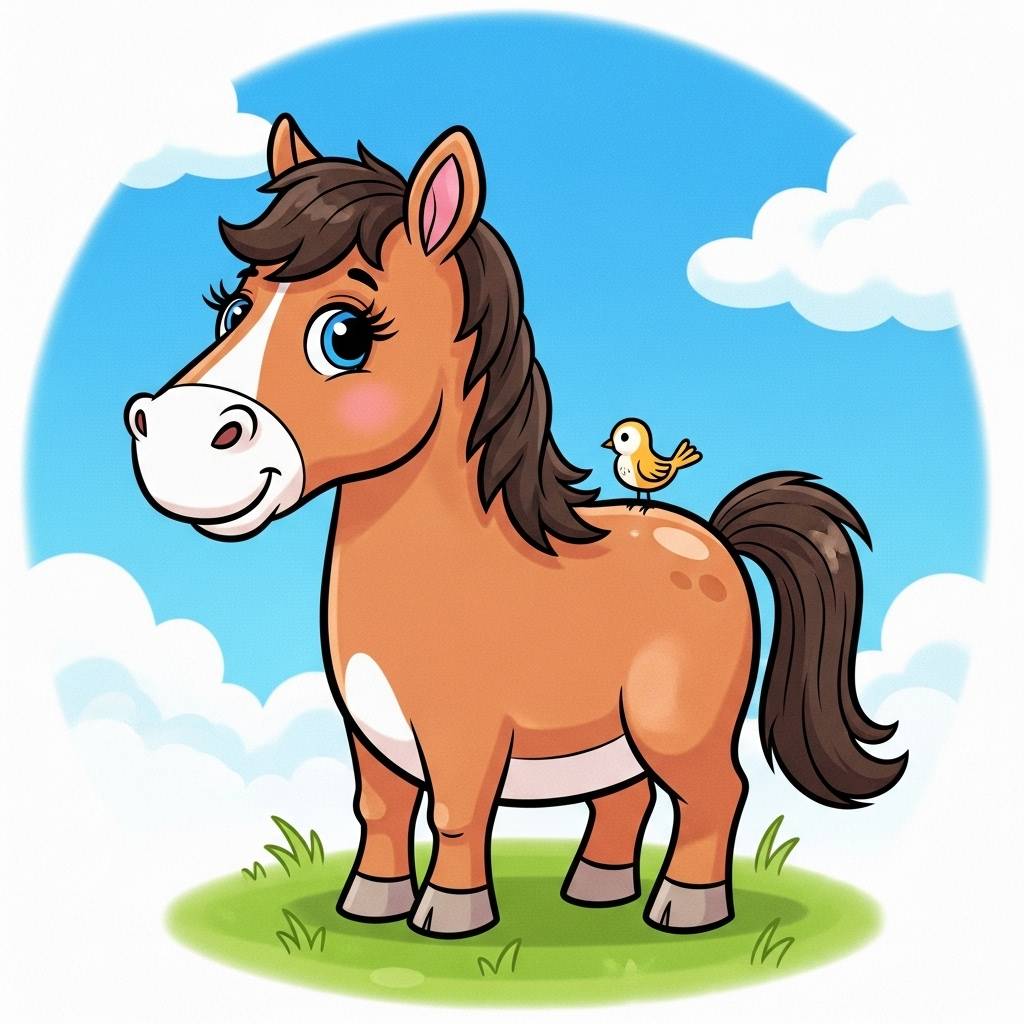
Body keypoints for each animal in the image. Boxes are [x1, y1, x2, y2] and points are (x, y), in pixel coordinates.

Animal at [125, 115, 907, 938]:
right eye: (231, 311)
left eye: (345, 336)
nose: (172, 437)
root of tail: (716, 535)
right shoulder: (370, 733)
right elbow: (380, 809)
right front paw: (369, 905)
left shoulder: (464, 734)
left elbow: (458, 814)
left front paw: (449, 918)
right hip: (612, 736)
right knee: (626, 798)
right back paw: (597, 890)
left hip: (676, 728)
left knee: (714, 795)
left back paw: (685, 909)